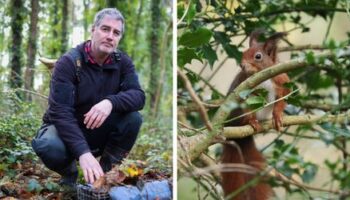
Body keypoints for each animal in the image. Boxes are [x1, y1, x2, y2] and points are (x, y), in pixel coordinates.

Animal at [221, 30, 290, 200]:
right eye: (243, 53)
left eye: (258, 56)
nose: (242, 65)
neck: (261, 76)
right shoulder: (243, 89)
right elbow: (246, 106)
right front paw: (252, 121)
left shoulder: (282, 80)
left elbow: (282, 99)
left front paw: (277, 116)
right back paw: (252, 123)